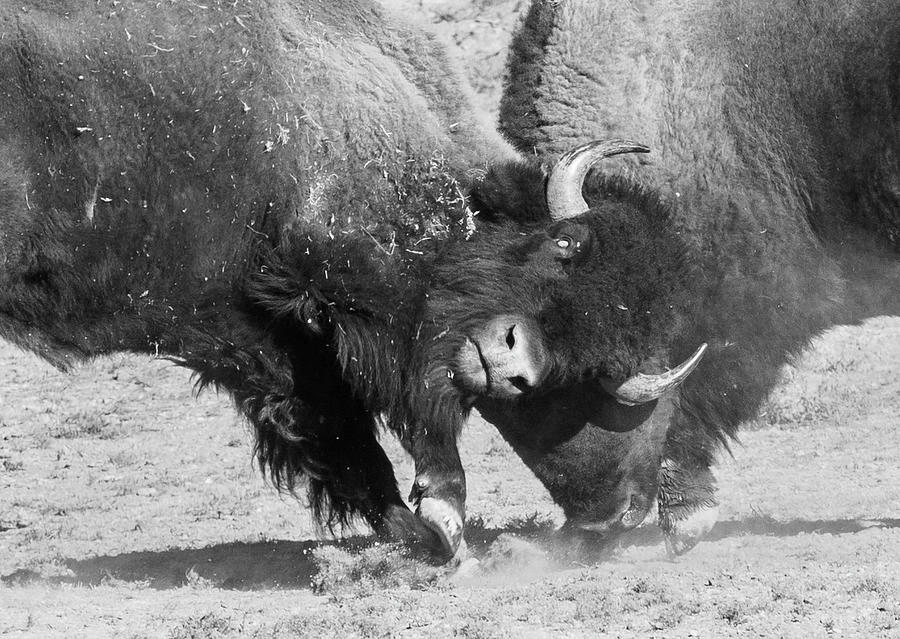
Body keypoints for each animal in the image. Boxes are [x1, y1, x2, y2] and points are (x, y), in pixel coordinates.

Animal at [0, 0, 704, 560]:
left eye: (608, 366)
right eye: (563, 245)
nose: (510, 362)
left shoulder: (261, 338)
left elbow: (338, 438)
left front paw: (426, 538)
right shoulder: (362, 302)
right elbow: (410, 415)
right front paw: (446, 529)